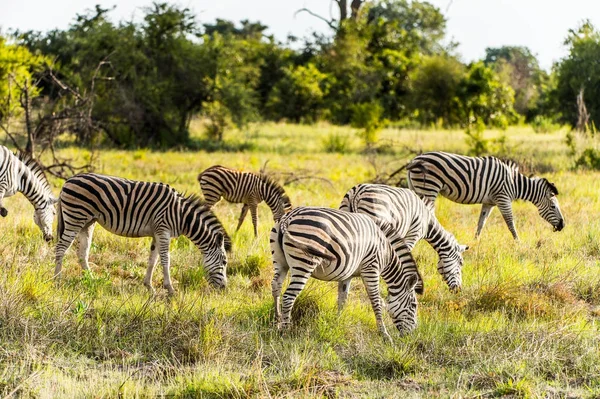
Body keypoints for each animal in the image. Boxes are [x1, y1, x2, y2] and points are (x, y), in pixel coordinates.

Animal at [54, 173, 232, 296]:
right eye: (224, 262)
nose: (225, 288)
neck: (182, 216)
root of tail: (69, 180)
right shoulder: (163, 230)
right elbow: (165, 260)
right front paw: (170, 290)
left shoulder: (156, 233)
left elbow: (153, 260)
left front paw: (149, 287)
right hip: (75, 217)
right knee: (61, 248)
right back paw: (57, 280)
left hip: (87, 222)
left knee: (82, 253)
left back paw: (91, 280)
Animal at [272, 206, 422, 340]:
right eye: (414, 305)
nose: (411, 336)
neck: (385, 251)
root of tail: (288, 217)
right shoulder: (371, 268)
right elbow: (376, 301)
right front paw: (384, 335)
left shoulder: (347, 275)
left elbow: (342, 300)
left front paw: (336, 323)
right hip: (304, 263)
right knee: (288, 297)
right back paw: (285, 332)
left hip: (280, 262)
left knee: (276, 287)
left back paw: (277, 323)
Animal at [406, 152, 564, 241]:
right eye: (553, 206)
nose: (563, 225)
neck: (514, 183)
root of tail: (415, 159)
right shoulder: (503, 198)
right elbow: (510, 222)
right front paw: (518, 242)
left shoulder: (489, 203)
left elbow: (481, 223)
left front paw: (475, 241)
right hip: (429, 188)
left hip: (417, 188)